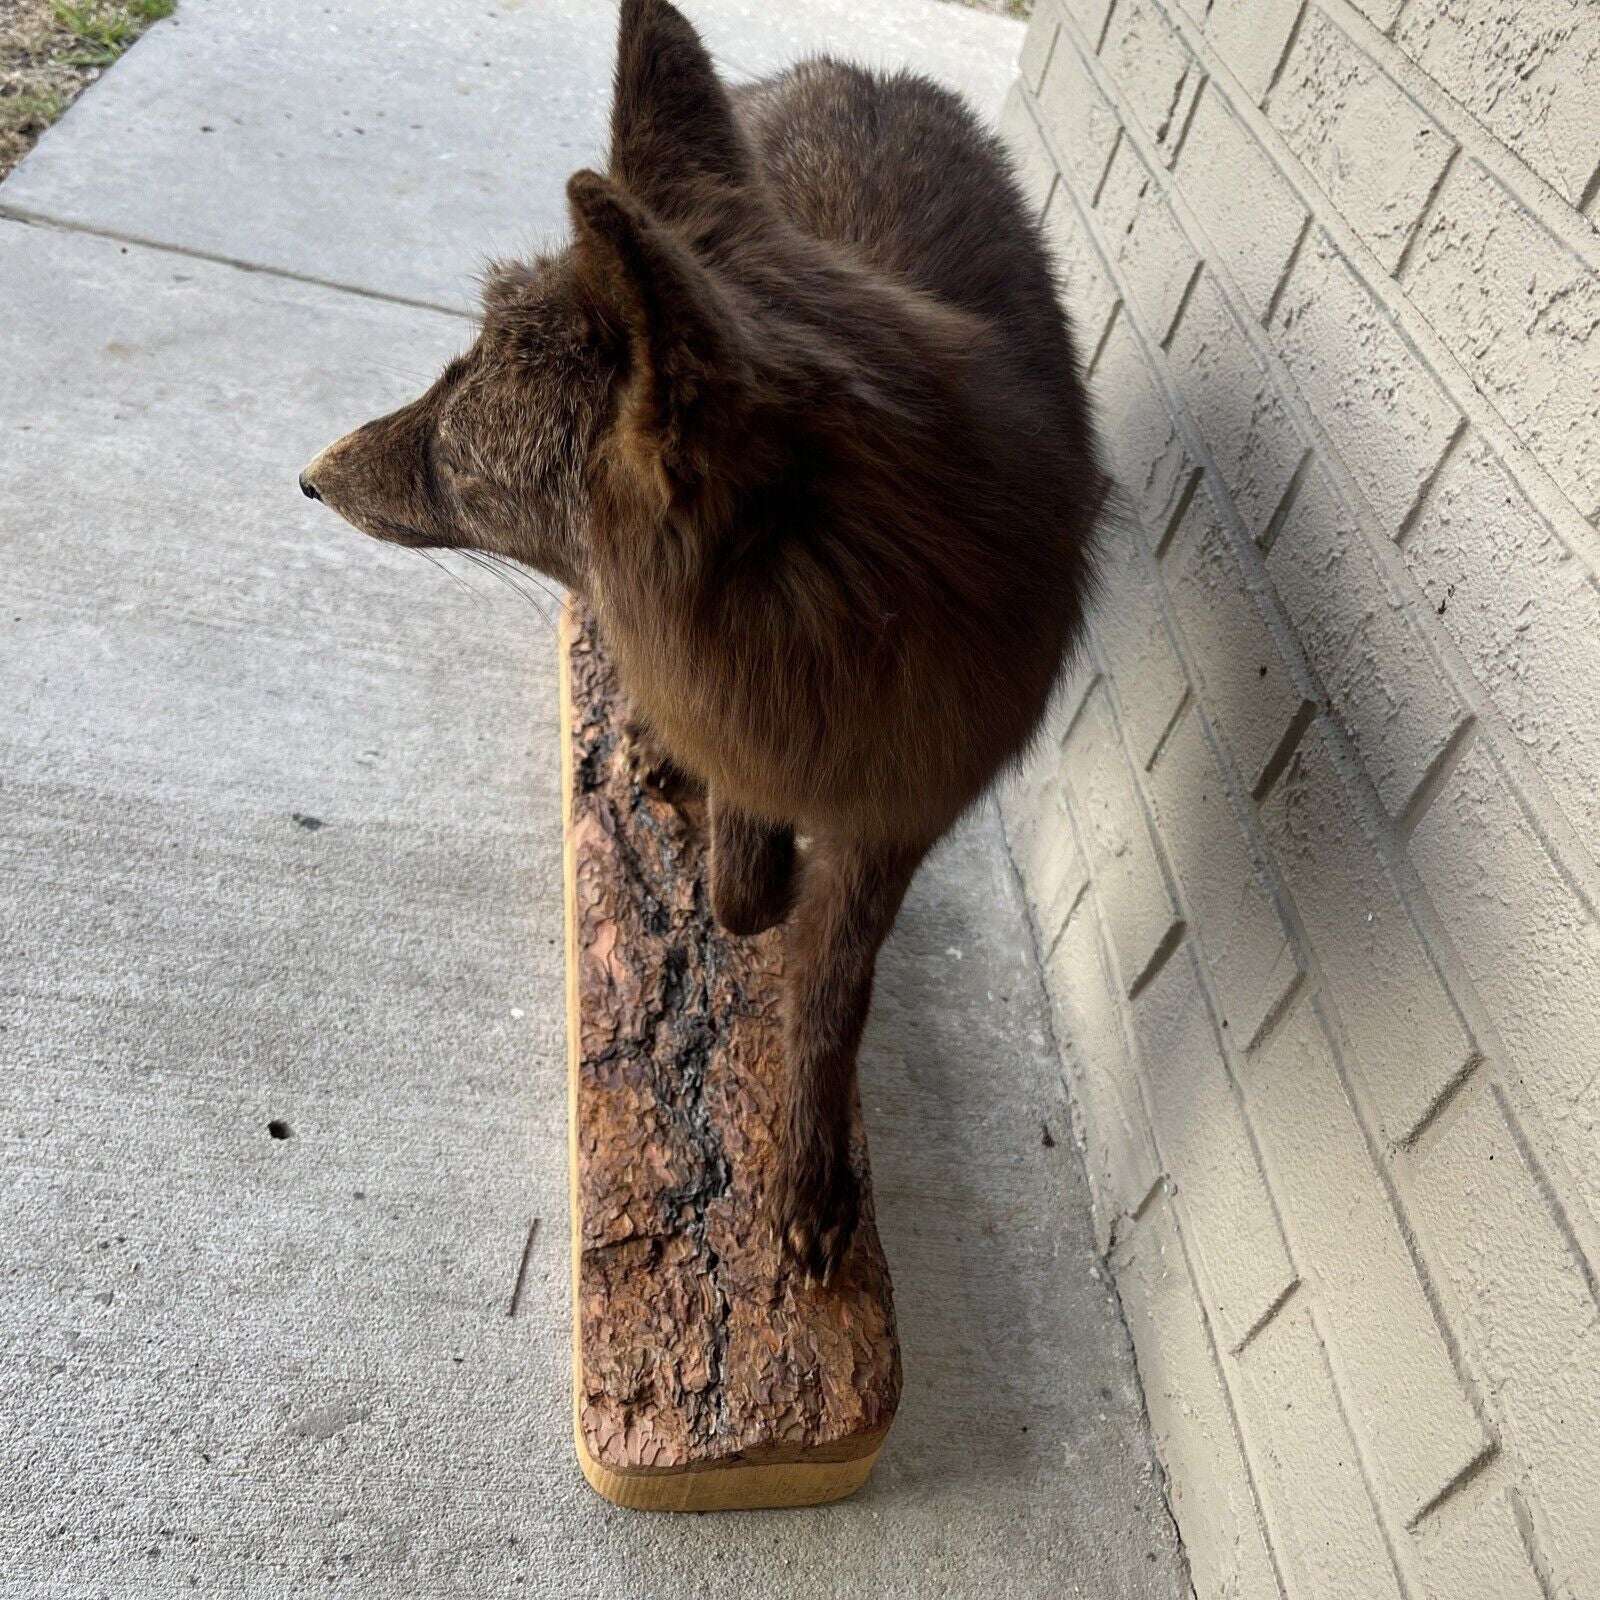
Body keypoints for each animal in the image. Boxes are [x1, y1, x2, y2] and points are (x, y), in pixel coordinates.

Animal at [300, 0, 1104, 1283]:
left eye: (458, 458)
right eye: (449, 365)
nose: (310, 478)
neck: (847, 631)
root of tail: (870, 71)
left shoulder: (908, 806)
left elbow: (826, 994)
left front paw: (811, 1170)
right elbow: (743, 889)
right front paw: (717, 818)